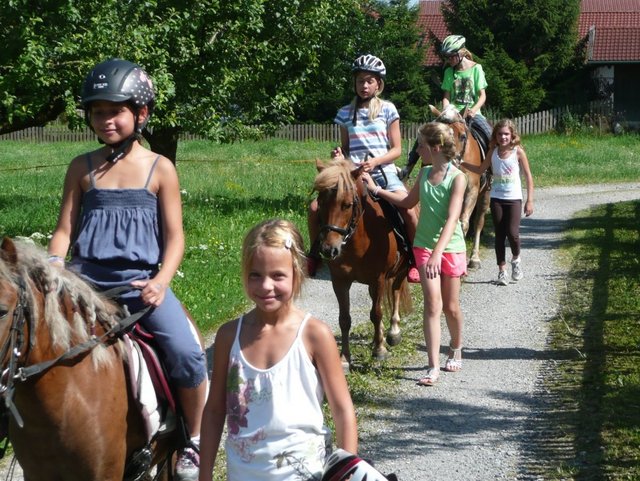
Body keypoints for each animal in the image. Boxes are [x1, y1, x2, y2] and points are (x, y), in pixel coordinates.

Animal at [430, 103, 490, 268]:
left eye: (463, 136)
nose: (451, 161)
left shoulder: (472, 190)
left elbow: (464, 223)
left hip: (485, 194)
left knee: (478, 221)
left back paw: (474, 257)